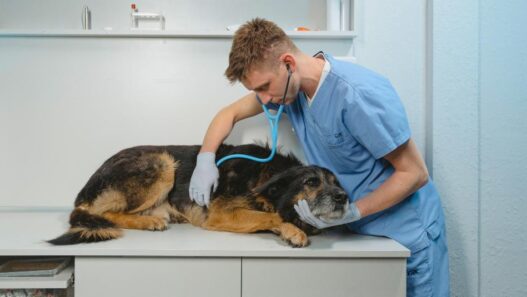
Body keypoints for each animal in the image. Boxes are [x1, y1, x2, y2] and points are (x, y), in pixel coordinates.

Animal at [46, 143, 350, 245]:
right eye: (311, 181)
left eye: (336, 182)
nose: (343, 197)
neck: (265, 174)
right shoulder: (221, 214)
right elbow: (274, 217)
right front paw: (294, 230)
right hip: (162, 161)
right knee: (101, 212)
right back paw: (149, 221)